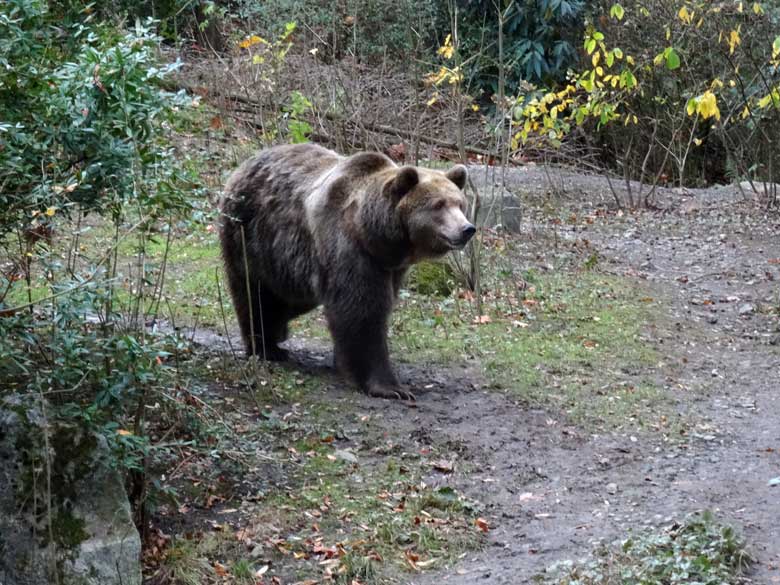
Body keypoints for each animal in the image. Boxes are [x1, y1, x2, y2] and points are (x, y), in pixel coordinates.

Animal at [219, 144, 476, 400]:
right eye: (438, 205)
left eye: (460, 203)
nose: (467, 229)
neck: (376, 237)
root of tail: (243, 166)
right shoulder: (348, 248)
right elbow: (362, 312)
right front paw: (391, 387)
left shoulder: (391, 268)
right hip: (250, 235)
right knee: (255, 293)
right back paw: (266, 348)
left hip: (286, 263)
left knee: (287, 299)